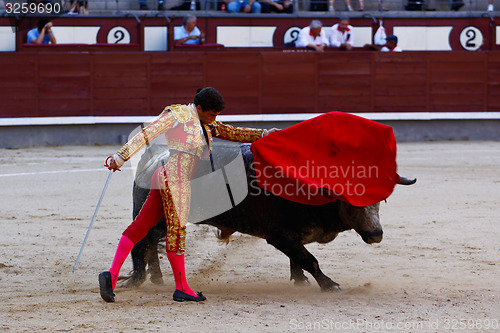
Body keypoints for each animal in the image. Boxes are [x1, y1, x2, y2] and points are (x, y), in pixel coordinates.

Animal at [121, 143, 414, 290]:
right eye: (349, 200)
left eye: (381, 200)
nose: (376, 234)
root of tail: (153, 158)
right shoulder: (278, 235)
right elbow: (309, 259)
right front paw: (329, 285)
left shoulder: (293, 236)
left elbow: (298, 258)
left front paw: (300, 281)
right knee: (143, 240)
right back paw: (138, 280)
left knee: (152, 241)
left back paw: (155, 278)